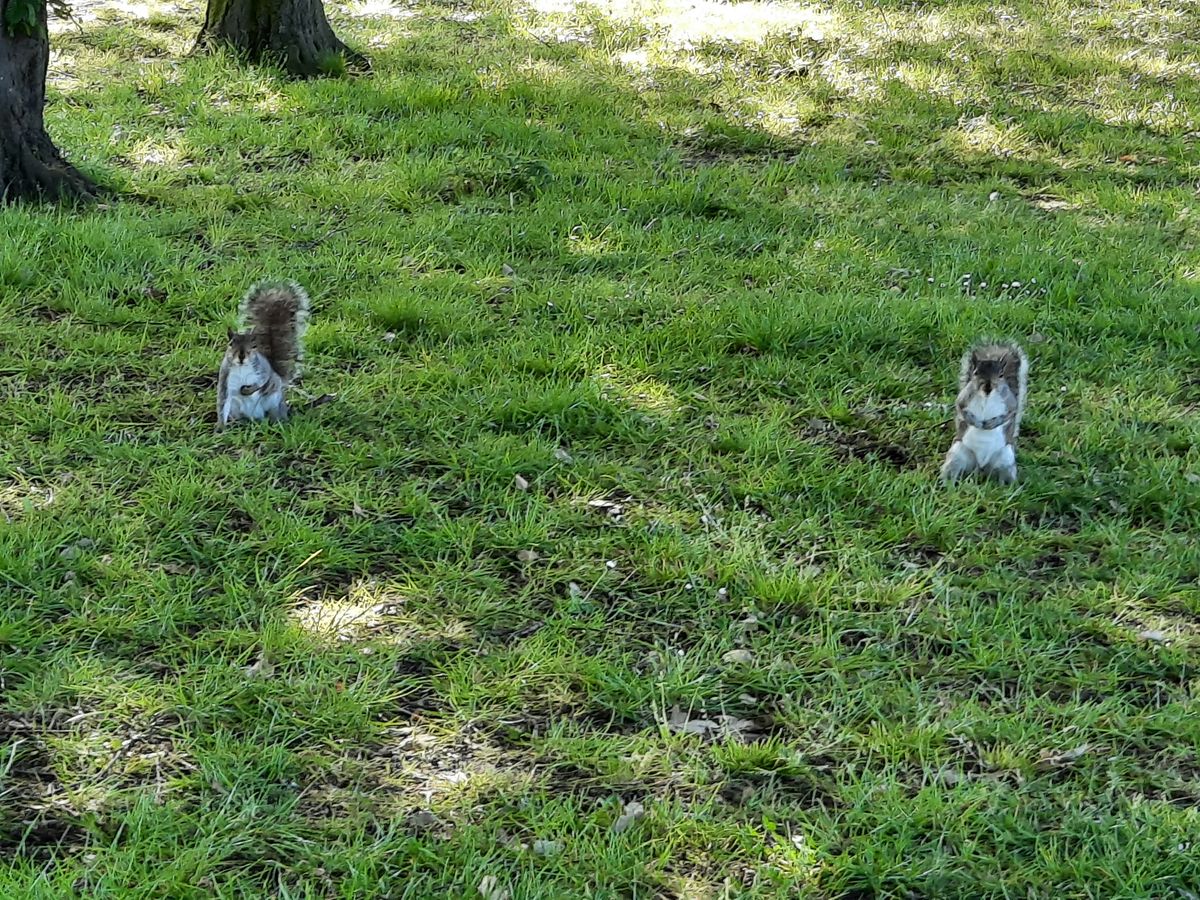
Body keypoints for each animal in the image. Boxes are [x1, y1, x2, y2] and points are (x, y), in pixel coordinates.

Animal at [216, 281, 310, 431]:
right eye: (230, 344)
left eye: (254, 346)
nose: (241, 356)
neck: (242, 367)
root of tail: (255, 418)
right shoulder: (225, 378)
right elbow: (222, 403)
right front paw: (220, 428)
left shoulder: (262, 370)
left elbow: (263, 381)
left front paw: (249, 390)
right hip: (236, 408)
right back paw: (238, 423)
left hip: (273, 401)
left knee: (274, 411)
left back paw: (278, 421)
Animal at [940, 340, 1028, 484]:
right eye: (975, 373)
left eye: (1001, 375)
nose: (988, 386)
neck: (986, 396)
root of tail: (980, 468)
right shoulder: (965, 397)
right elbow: (960, 408)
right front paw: (976, 422)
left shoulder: (1010, 401)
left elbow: (1010, 412)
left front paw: (991, 423)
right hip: (957, 454)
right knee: (952, 471)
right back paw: (948, 485)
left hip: (1006, 459)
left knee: (1004, 477)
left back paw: (1007, 487)